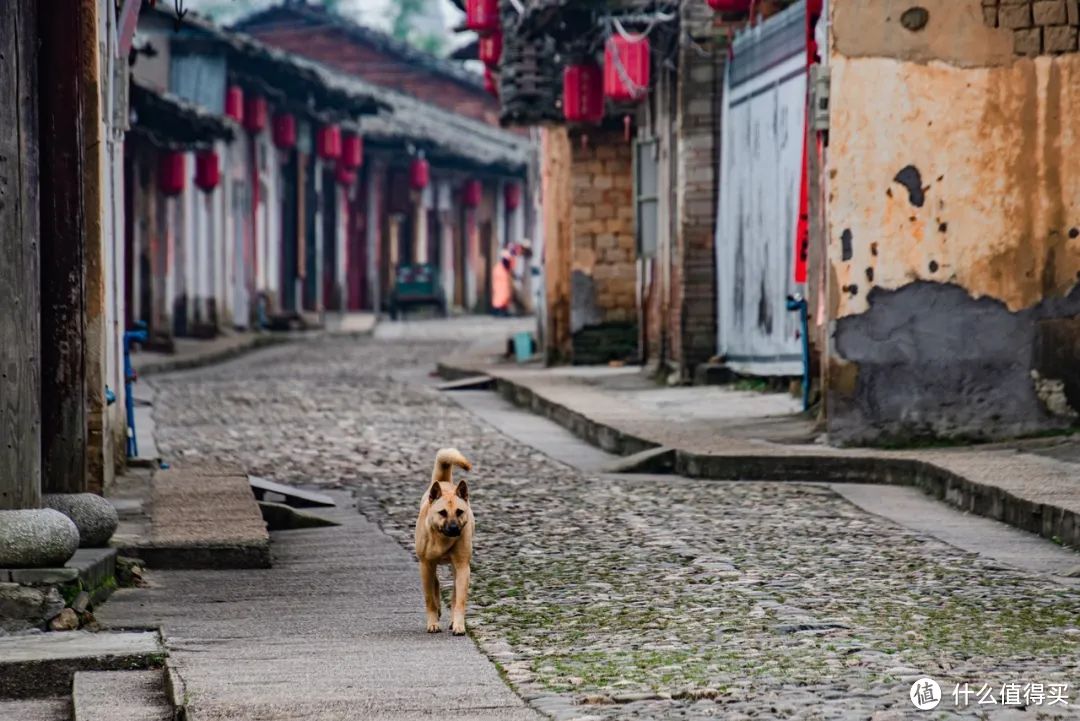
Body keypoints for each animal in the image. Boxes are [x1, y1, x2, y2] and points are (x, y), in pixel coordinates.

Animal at [412, 446, 473, 634]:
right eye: (443, 513)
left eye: (459, 512)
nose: (454, 529)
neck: (442, 539)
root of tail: (444, 482)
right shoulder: (425, 565)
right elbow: (429, 599)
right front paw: (433, 622)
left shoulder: (462, 566)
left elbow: (459, 600)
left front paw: (459, 624)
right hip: (429, 566)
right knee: (435, 584)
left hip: (454, 568)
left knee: (452, 591)